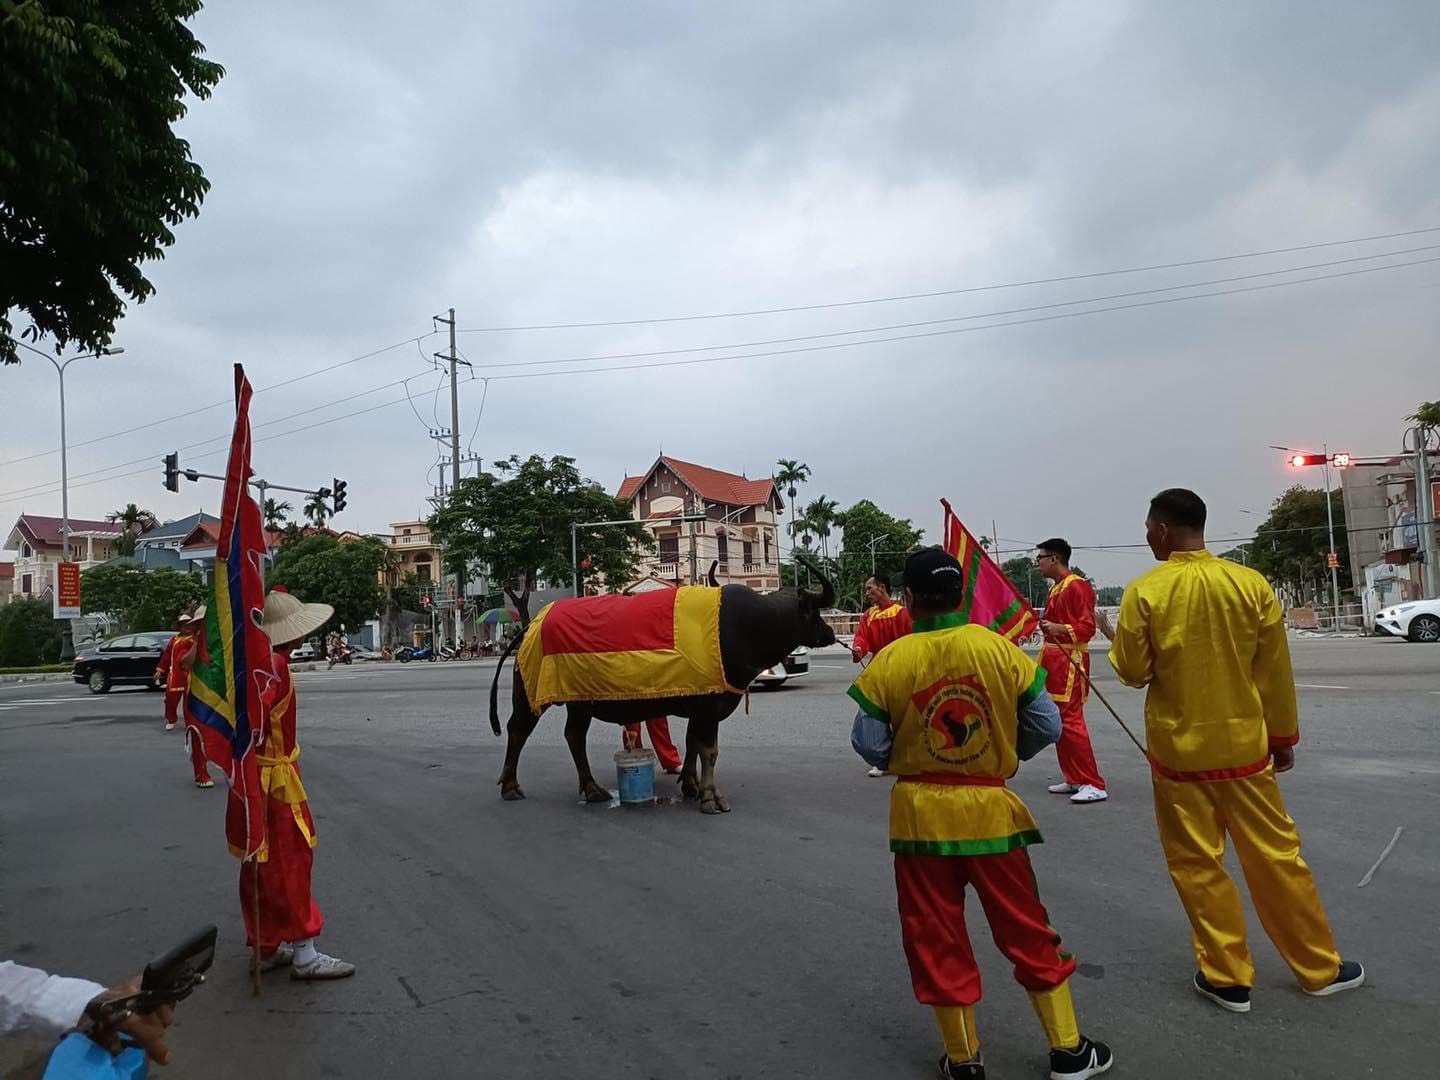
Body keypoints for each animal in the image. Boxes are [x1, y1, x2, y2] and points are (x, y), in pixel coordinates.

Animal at [492, 567, 840, 812]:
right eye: (814, 612)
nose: (830, 633)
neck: (747, 625)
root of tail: (531, 624)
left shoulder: (698, 706)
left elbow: (692, 743)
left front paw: (690, 785)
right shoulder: (710, 706)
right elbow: (709, 750)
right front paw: (711, 798)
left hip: (579, 702)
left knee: (574, 736)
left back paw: (592, 790)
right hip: (528, 694)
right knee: (518, 729)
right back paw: (510, 787)